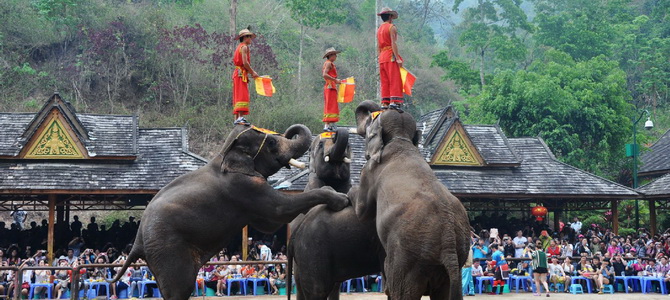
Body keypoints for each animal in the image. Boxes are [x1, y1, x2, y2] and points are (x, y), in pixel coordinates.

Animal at [107, 122, 350, 300]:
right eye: (271, 142)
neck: (224, 152)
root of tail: (138, 240)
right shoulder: (242, 187)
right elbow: (279, 211)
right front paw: (340, 199)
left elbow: (267, 223)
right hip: (168, 249)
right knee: (179, 289)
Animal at [352, 101, 472, 300]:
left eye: (370, 122)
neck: (400, 138)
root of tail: (448, 241)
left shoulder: (370, 171)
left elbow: (362, 211)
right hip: (454, 259)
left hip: (408, 260)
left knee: (400, 289)